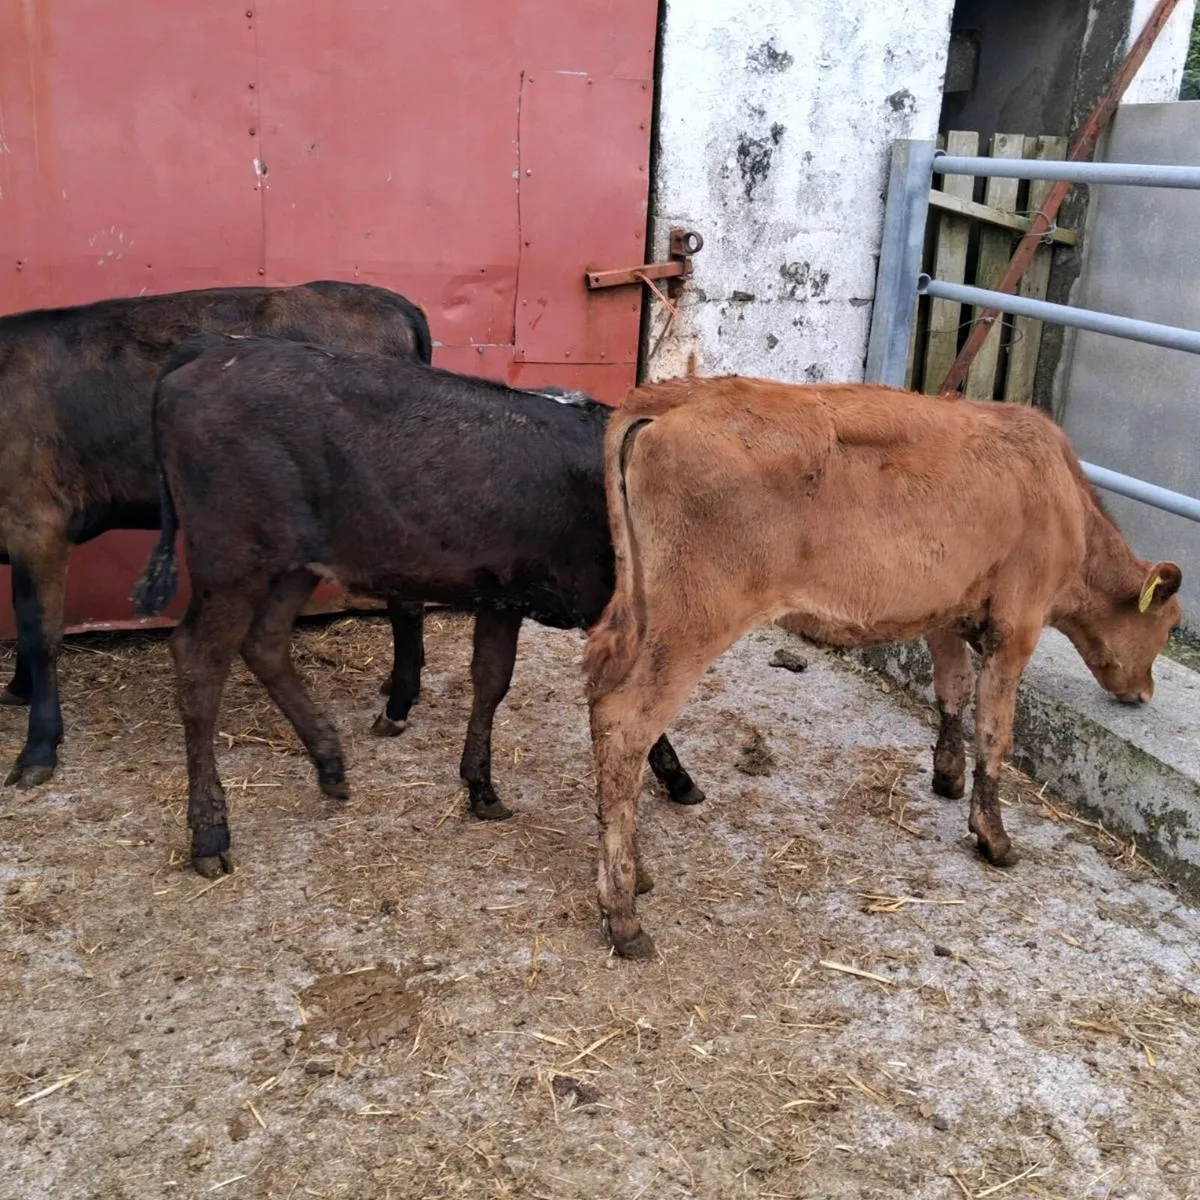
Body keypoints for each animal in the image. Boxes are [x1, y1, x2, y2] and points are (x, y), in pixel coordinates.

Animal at [0, 280, 431, 789]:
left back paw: (398, 704)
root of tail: (385, 299)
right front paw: (18, 689)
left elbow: (39, 633)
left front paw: (38, 747)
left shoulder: (36, 524)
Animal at [131, 334, 704, 878]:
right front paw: (675, 775)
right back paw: (210, 832)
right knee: (199, 661)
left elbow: (491, 679)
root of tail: (217, 348)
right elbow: (635, 699)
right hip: (233, 561)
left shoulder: (503, 591)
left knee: (265, 641)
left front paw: (480, 785)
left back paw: (329, 762)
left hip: (296, 562)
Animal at [583, 376, 1183, 958]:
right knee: (625, 722)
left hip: (640, 614)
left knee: (601, 701)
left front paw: (947, 775)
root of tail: (677, 393)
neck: (1064, 499)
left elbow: (953, 689)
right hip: (695, 620)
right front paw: (994, 837)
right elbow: (996, 732)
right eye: (1171, 623)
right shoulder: (1018, 624)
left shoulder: (947, 610)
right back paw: (623, 914)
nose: (1146, 692)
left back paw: (638, 874)